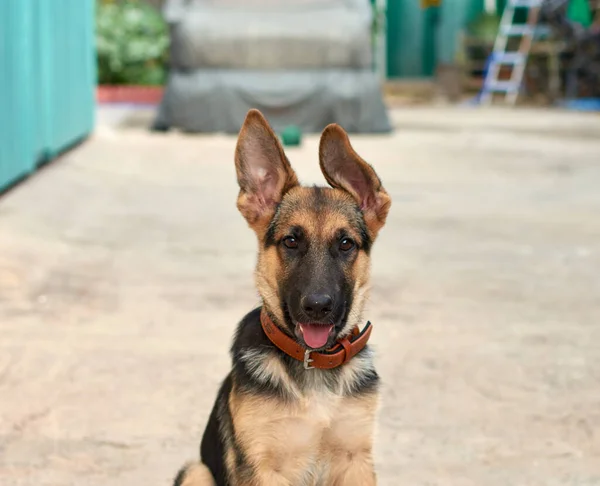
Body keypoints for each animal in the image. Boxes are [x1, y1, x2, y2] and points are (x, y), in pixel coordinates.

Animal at [173, 110, 392, 486]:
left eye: (345, 243)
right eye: (291, 241)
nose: (317, 307)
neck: (313, 364)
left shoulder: (356, 460)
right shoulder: (263, 467)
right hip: (196, 471)